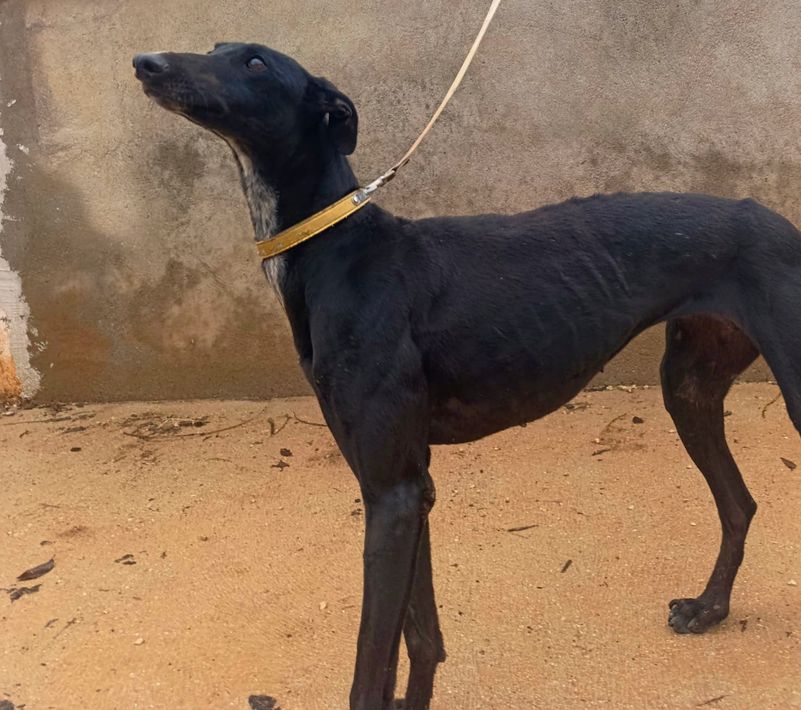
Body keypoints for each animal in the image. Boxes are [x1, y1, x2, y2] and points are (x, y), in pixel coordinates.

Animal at [134, 42, 801, 710]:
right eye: (217, 49)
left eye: (255, 64)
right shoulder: (405, 485)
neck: (336, 251)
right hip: (688, 388)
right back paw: (709, 608)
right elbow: (421, 635)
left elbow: (370, 666)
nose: (146, 62)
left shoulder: (392, 491)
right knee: (738, 503)